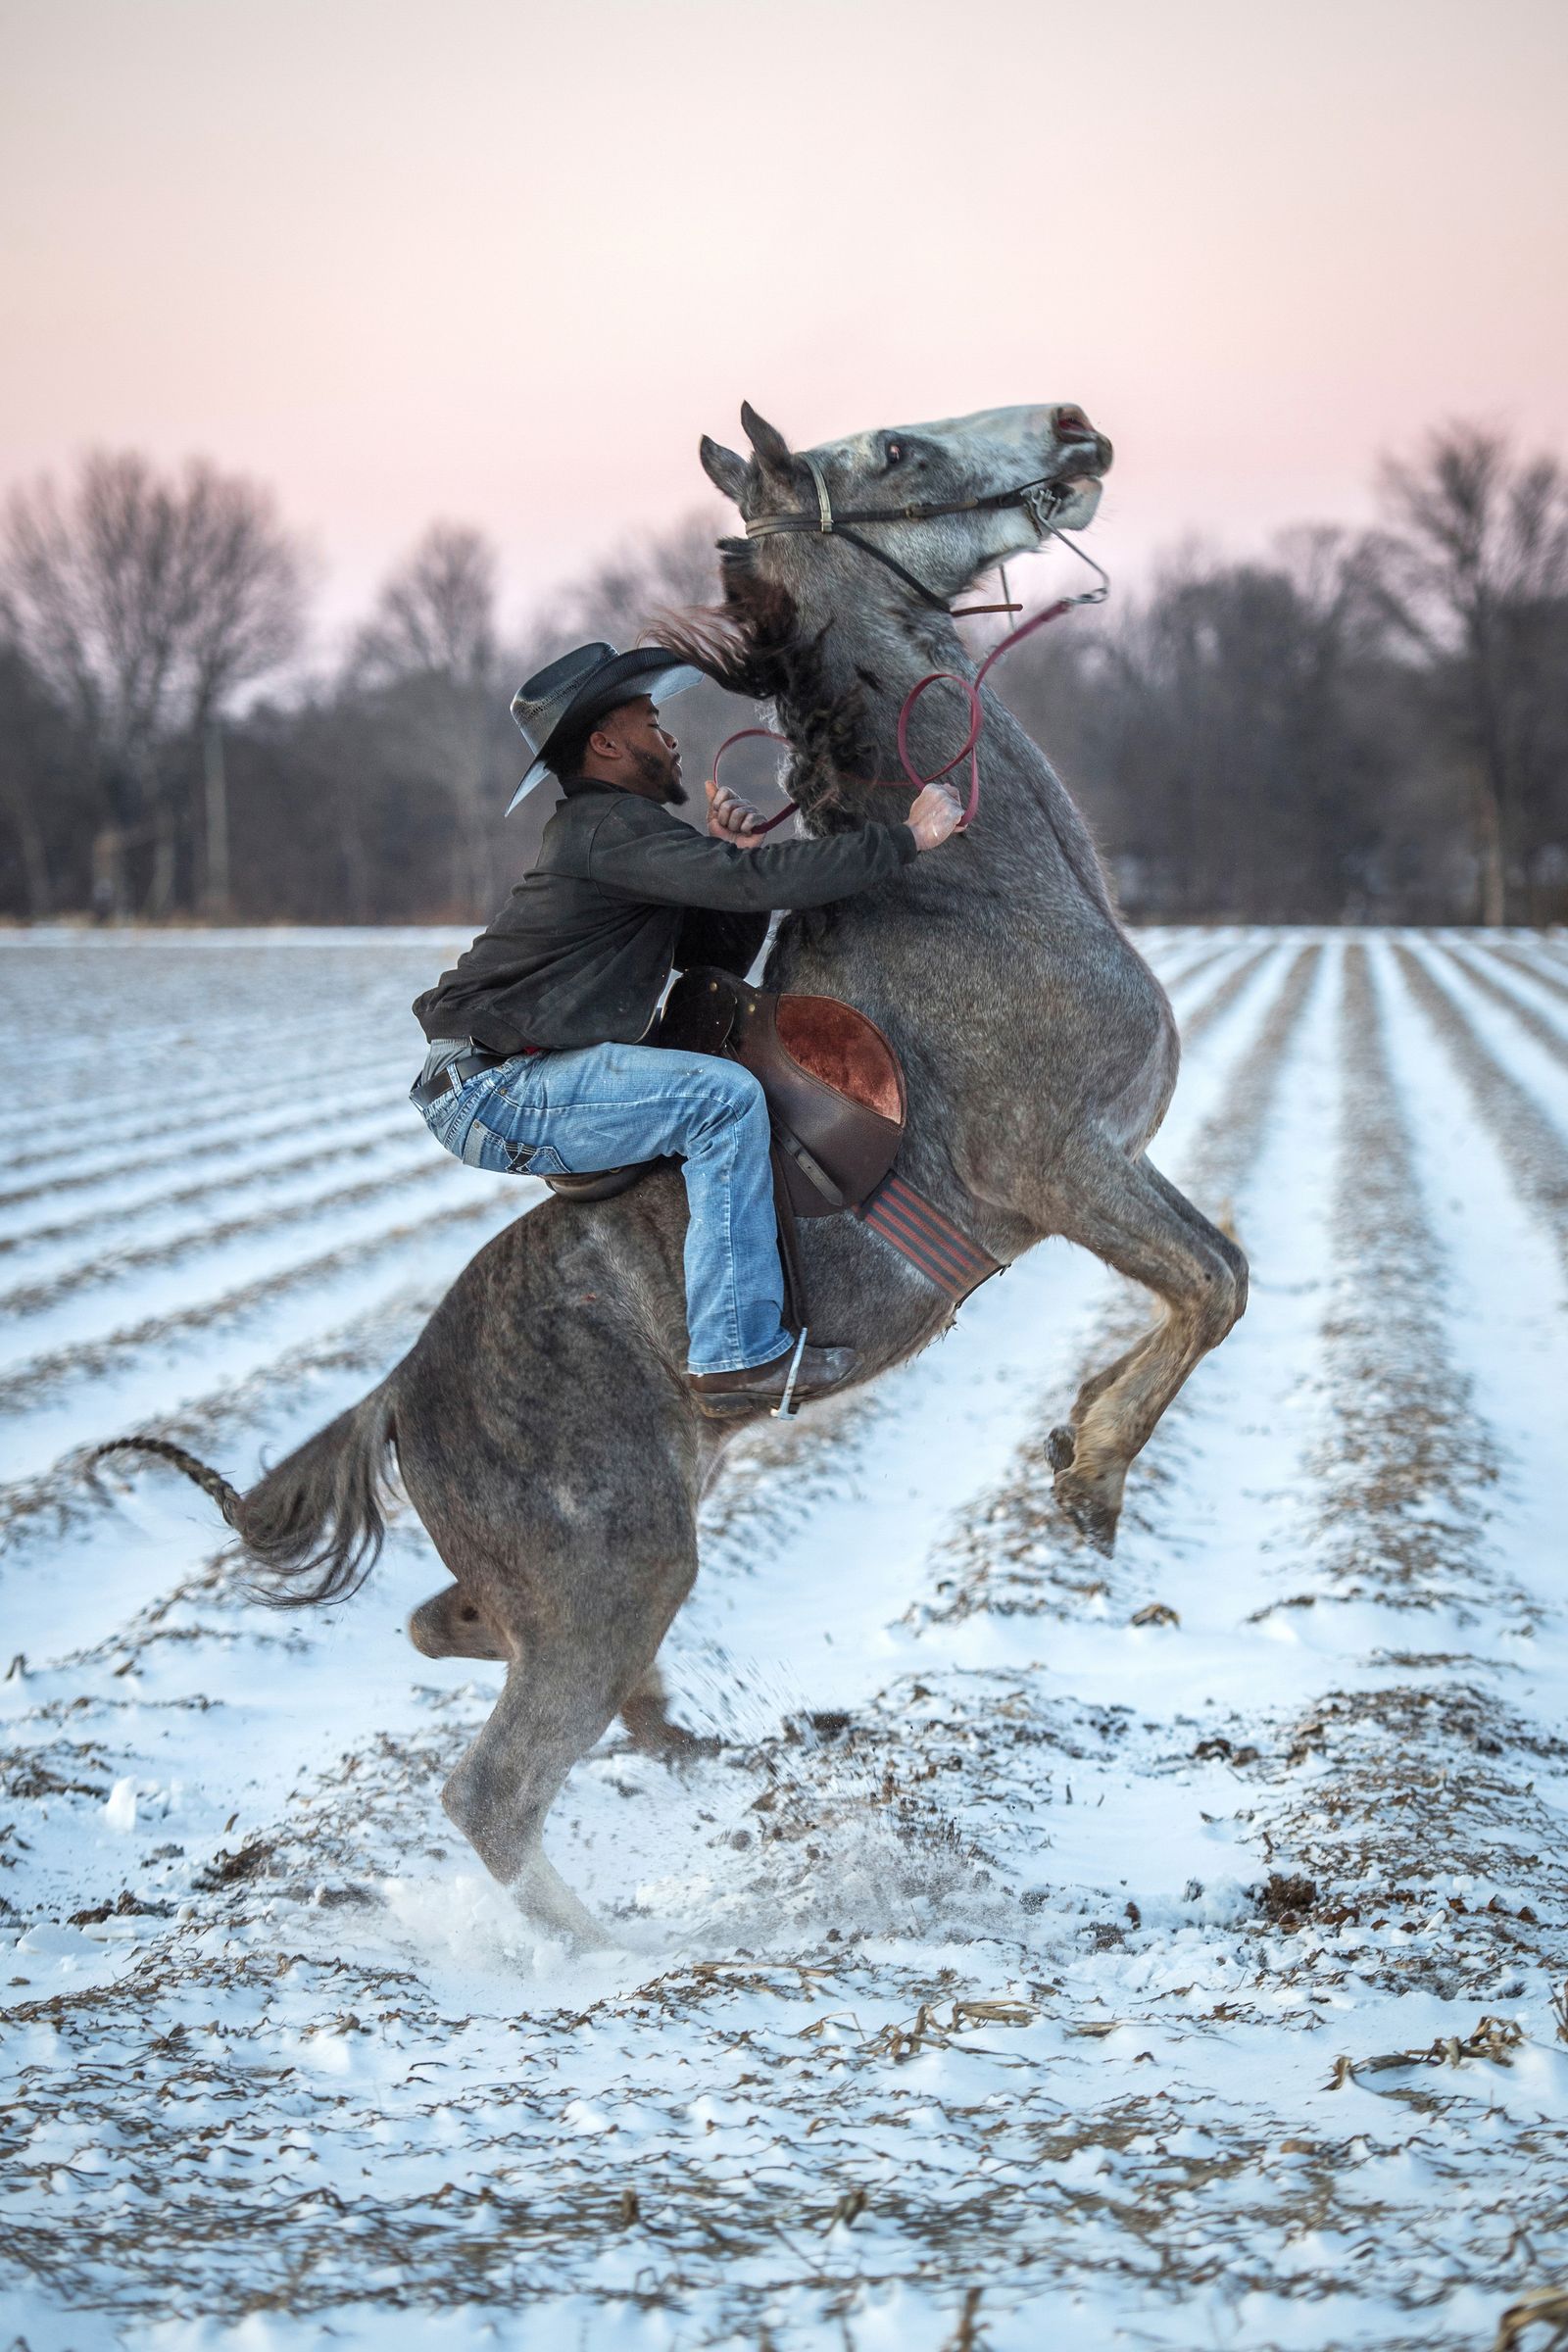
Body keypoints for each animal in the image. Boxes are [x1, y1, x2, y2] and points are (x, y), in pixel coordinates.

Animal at [107, 395, 1250, 1929]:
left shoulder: (1118, 1167)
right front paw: (1089, 1479)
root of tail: (401, 1394)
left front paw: (1074, 1435)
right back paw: (595, 1948)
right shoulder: (1067, 1170)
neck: (971, 888)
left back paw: (666, 1738)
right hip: (622, 1567)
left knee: (451, 1634)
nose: (1074, 426)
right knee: (495, 1787)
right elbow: (1212, 1286)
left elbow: (1216, 1271)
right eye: (894, 448)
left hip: (592, 1573)